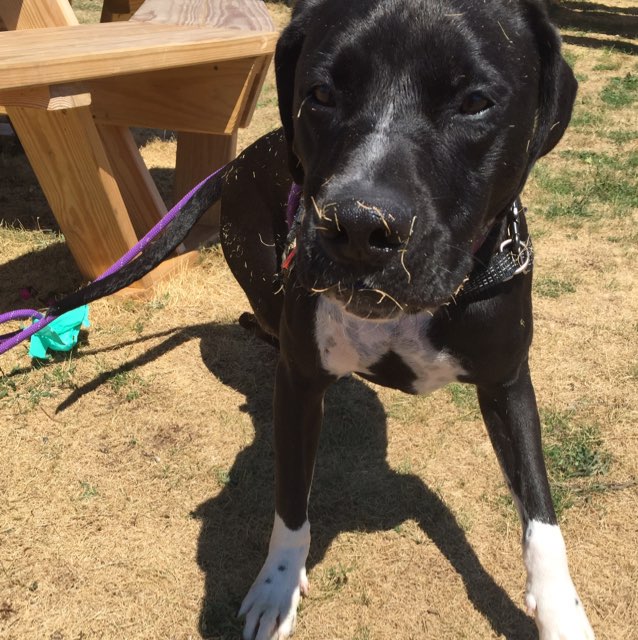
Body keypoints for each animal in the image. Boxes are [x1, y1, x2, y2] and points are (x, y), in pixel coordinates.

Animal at [52, 0, 595, 638]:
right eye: (320, 94)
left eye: (475, 102)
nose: (358, 227)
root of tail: (235, 163)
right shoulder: (300, 381)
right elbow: (290, 500)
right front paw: (276, 586)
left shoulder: (508, 383)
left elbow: (541, 514)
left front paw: (560, 612)